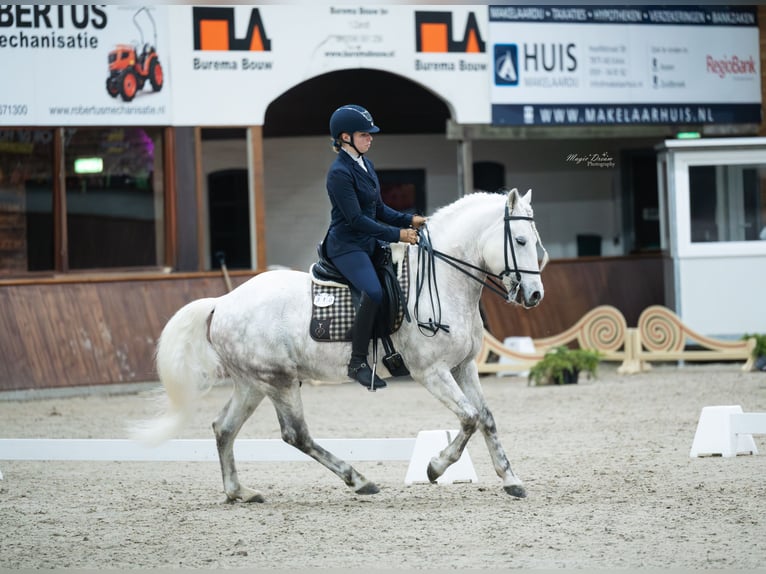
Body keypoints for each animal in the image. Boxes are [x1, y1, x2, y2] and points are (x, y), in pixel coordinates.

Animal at [130, 188, 547, 501]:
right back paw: (359, 481)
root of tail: (222, 302)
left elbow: (486, 417)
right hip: (280, 382)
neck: (443, 280)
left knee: (224, 428)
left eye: (537, 243)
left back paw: (240, 492)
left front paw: (511, 480)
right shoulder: (431, 371)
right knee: (295, 435)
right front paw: (435, 467)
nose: (535, 295)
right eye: (520, 240)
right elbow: (469, 418)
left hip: (254, 382)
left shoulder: (463, 366)